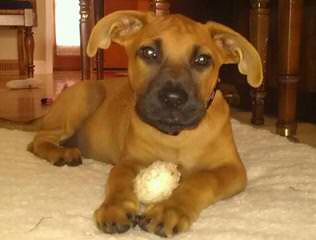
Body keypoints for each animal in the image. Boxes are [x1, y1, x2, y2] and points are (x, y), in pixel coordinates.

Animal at [29, 10, 262, 237]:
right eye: (149, 53)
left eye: (202, 60)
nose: (173, 98)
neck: (177, 137)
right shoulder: (130, 160)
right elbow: (118, 178)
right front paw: (115, 208)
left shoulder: (232, 169)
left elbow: (203, 179)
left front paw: (169, 210)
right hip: (87, 95)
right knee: (38, 141)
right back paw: (61, 153)